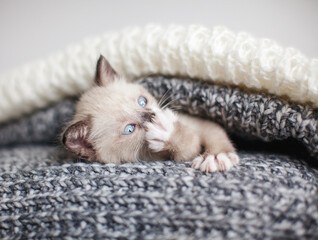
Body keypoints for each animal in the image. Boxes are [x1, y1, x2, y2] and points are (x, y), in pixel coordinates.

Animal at [62, 55, 240, 172]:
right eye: (129, 129)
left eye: (142, 101)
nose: (151, 116)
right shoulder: (176, 154)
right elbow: (187, 146)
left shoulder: (197, 122)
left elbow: (214, 135)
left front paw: (216, 157)